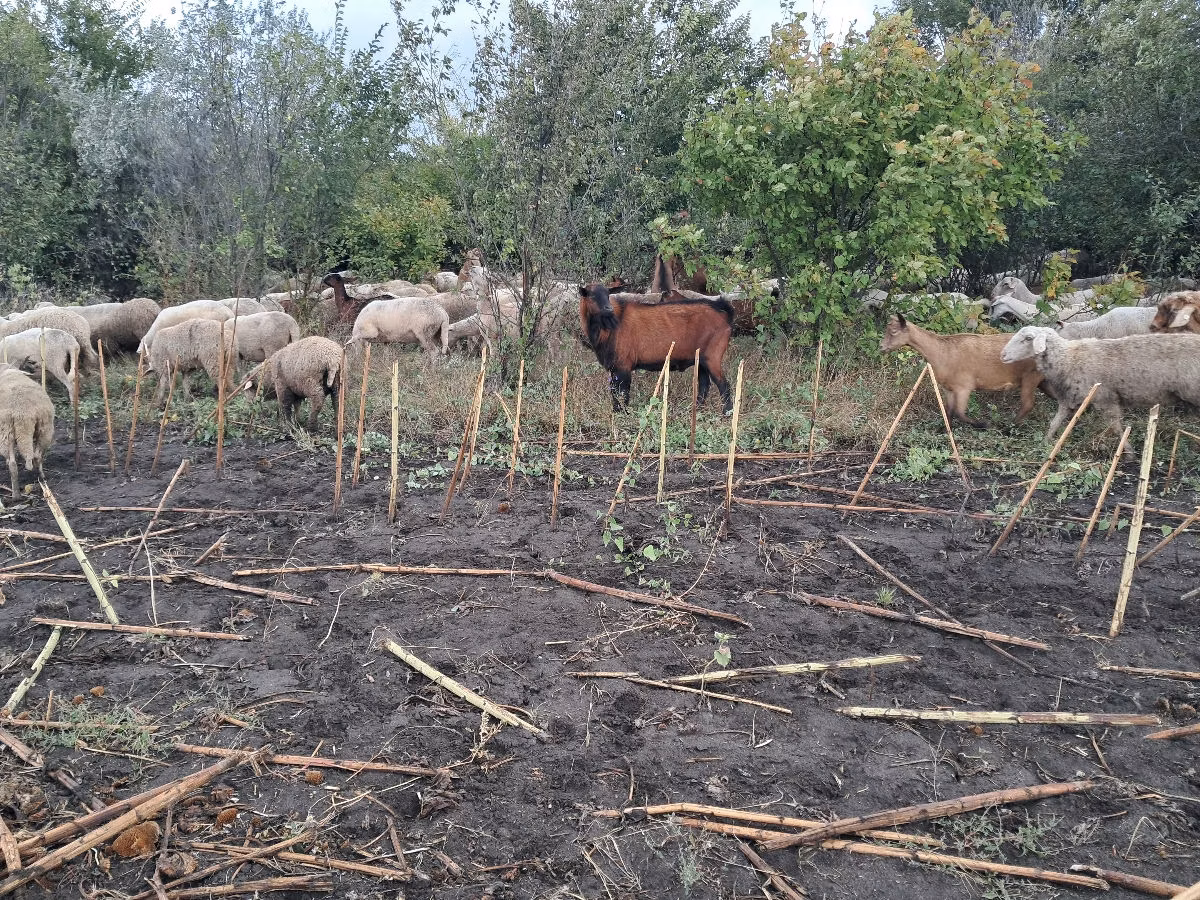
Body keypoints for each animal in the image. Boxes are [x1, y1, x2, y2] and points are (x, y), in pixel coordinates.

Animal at [0, 366, 54, 501]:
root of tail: (21, 411)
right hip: (44, 429)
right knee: (35, 456)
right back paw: (40, 479)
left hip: (7, 431)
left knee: (15, 462)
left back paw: (17, 494)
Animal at [579, 282, 734, 413]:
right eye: (592, 295)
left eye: (607, 295)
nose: (608, 308)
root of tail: (722, 312)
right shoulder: (613, 367)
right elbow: (614, 393)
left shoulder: (623, 365)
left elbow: (622, 393)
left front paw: (622, 413)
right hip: (701, 360)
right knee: (704, 385)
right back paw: (696, 410)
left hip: (712, 357)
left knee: (724, 384)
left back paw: (727, 412)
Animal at [881, 314, 1044, 425]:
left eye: (893, 331)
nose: (881, 347)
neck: (942, 352)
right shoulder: (948, 388)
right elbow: (948, 411)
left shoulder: (964, 387)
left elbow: (959, 413)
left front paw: (982, 424)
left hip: (1030, 377)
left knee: (1028, 404)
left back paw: (1009, 428)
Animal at [1001, 326, 1200, 446]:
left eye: (1028, 338)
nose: (1002, 355)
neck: (1067, 358)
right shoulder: (1068, 398)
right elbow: (1054, 423)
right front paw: (1046, 442)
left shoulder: (1105, 398)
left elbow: (1116, 427)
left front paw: (1128, 451)